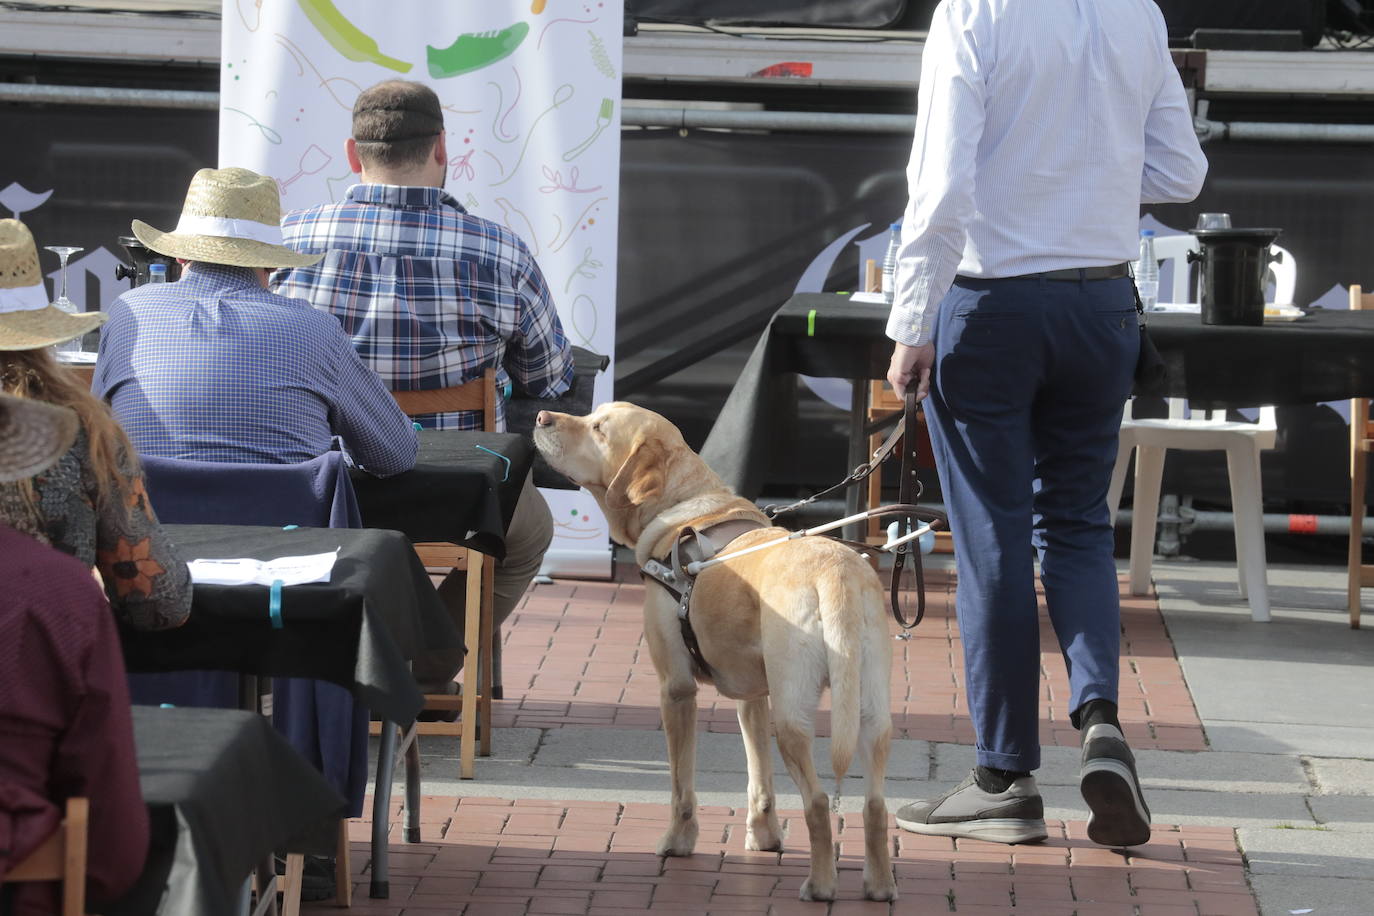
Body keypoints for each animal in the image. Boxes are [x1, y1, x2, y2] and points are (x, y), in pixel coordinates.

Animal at [535, 401, 901, 900]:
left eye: (599, 429)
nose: (540, 417)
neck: (681, 507)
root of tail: (836, 571)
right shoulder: (754, 696)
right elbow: (759, 778)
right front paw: (763, 838)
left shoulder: (676, 690)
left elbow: (681, 785)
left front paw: (677, 842)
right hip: (870, 713)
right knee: (876, 805)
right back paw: (879, 886)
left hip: (794, 717)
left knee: (819, 801)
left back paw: (820, 884)